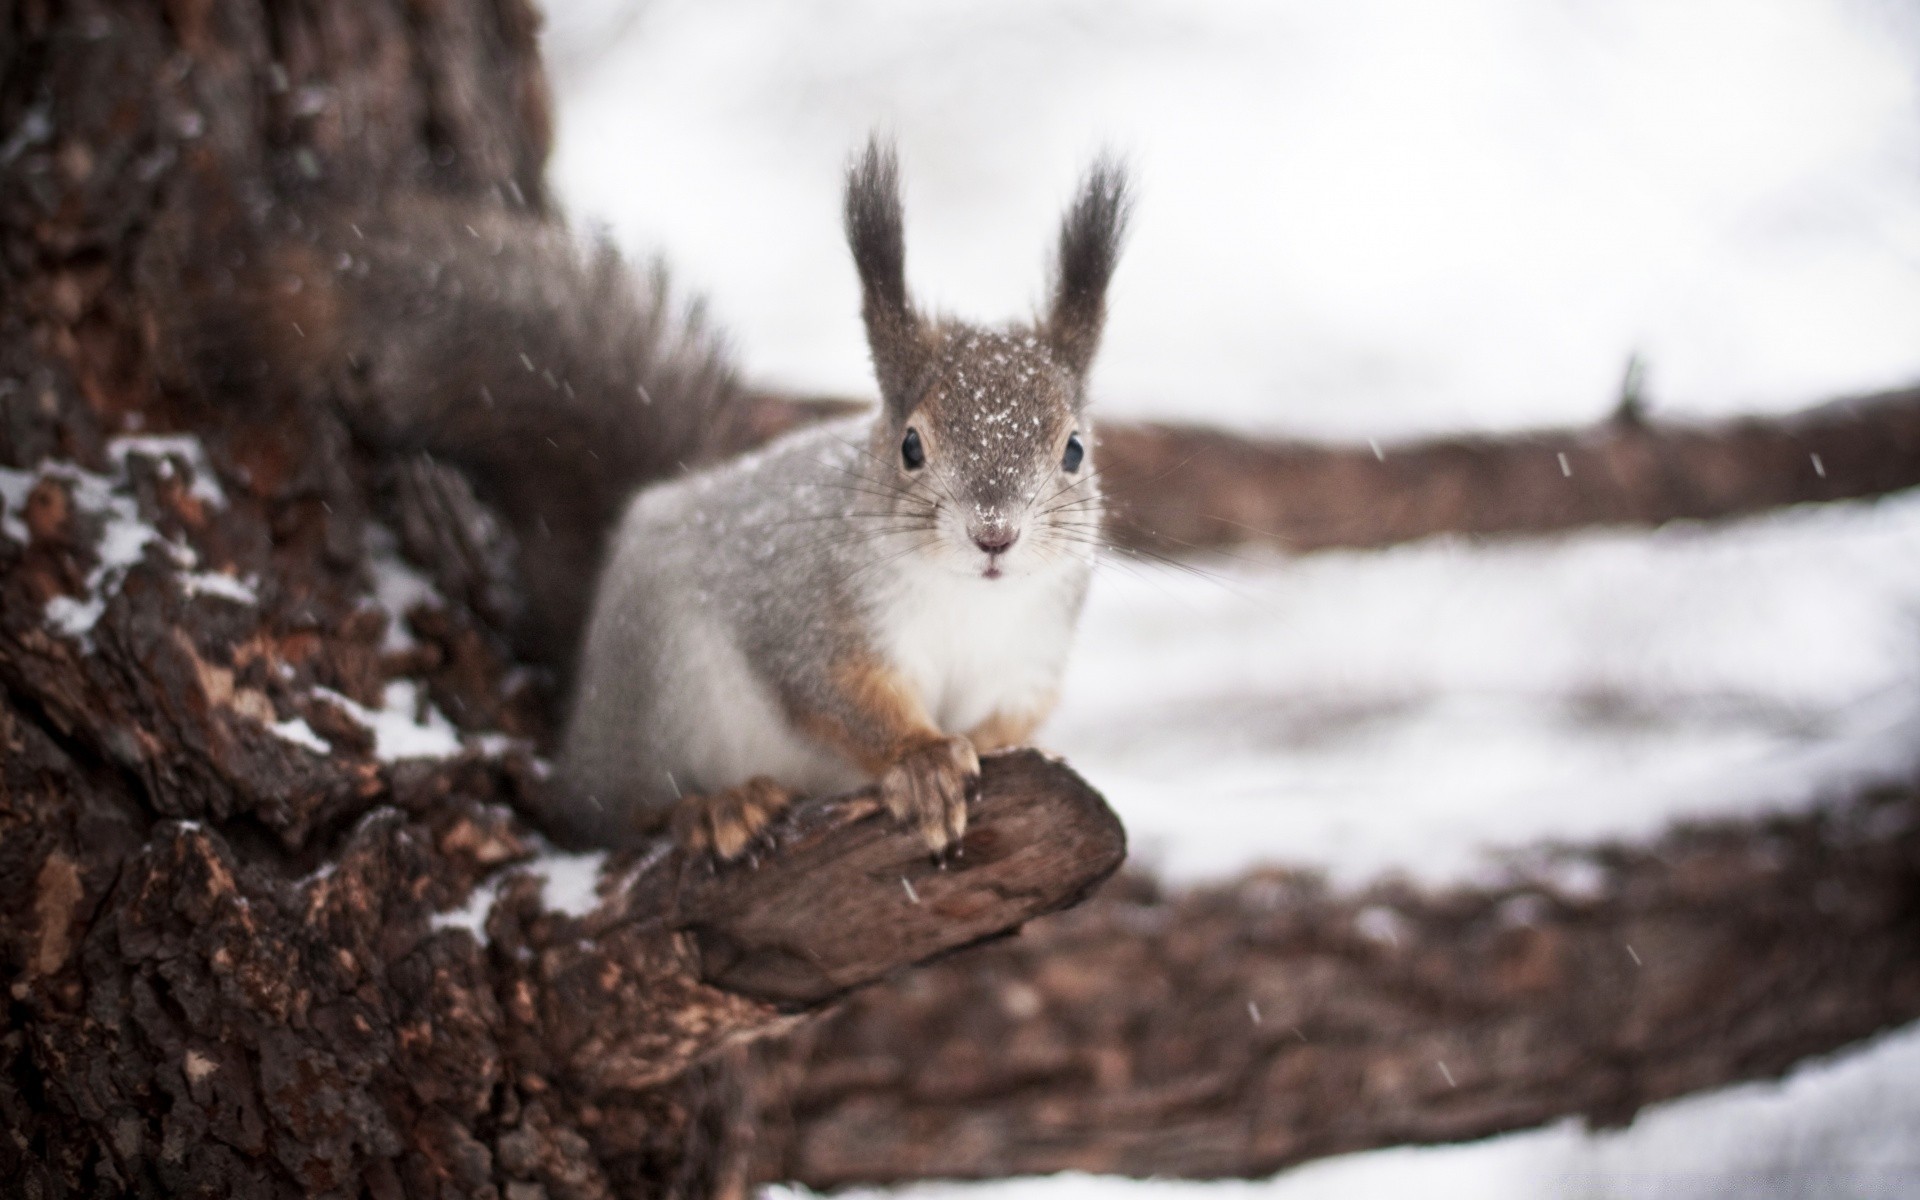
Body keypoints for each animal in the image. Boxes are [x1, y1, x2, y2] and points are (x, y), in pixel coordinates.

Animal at [549, 140, 1128, 852]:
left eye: (1074, 449)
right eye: (910, 446)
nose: (994, 534)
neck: (969, 599)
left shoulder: (1027, 664)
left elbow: (1005, 722)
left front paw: (1007, 751)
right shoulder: (812, 619)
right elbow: (841, 699)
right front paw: (924, 762)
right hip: (658, 690)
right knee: (619, 811)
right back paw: (716, 806)